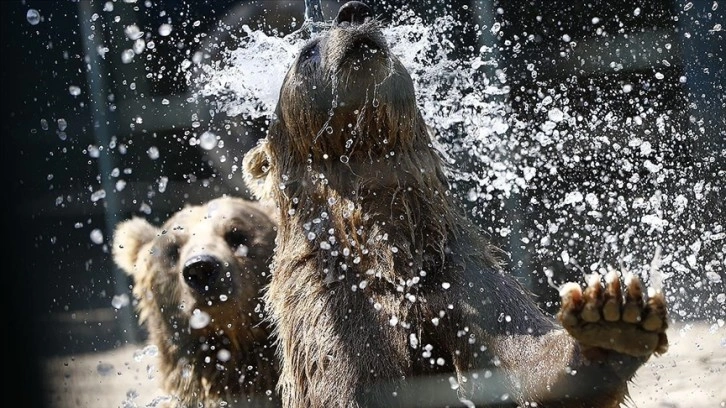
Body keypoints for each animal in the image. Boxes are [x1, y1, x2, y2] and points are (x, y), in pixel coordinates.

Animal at [243, 1, 672, 406]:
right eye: (307, 52)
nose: (351, 14)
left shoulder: (458, 275)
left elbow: (529, 358)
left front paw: (612, 319)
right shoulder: (334, 305)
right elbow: (344, 383)